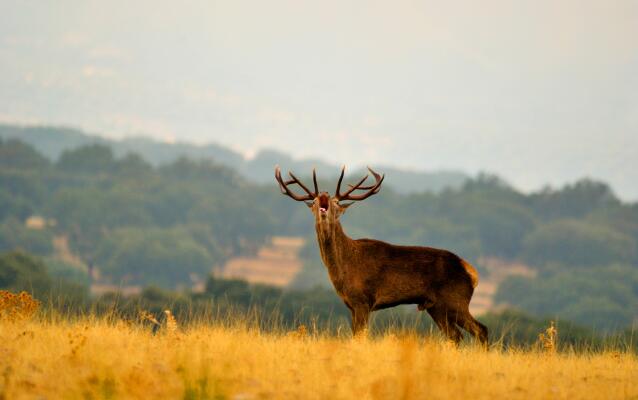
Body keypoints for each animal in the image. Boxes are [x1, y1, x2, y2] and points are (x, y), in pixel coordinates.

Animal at [276, 164, 490, 346]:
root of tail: (471, 272)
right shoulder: (351, 305)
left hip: (456, 299)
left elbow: (360, 337)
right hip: (436, 306)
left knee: (481, 329)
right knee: (456, 336)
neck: (344, 269)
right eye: (313, 201)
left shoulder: (363, 299)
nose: (324, 195)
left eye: (336, 203)